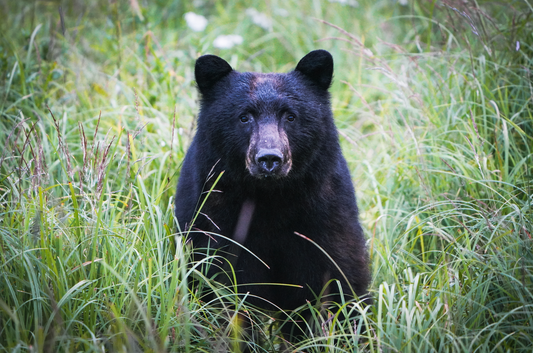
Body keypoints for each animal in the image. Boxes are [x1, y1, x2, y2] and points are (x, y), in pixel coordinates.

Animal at [175, 51, 370, 336]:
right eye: (244, 117)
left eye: (290, 116)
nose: (269, 159)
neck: (271, 198)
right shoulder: (213, 216)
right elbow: (221, 285)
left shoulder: (326, 215)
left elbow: (339, 280)